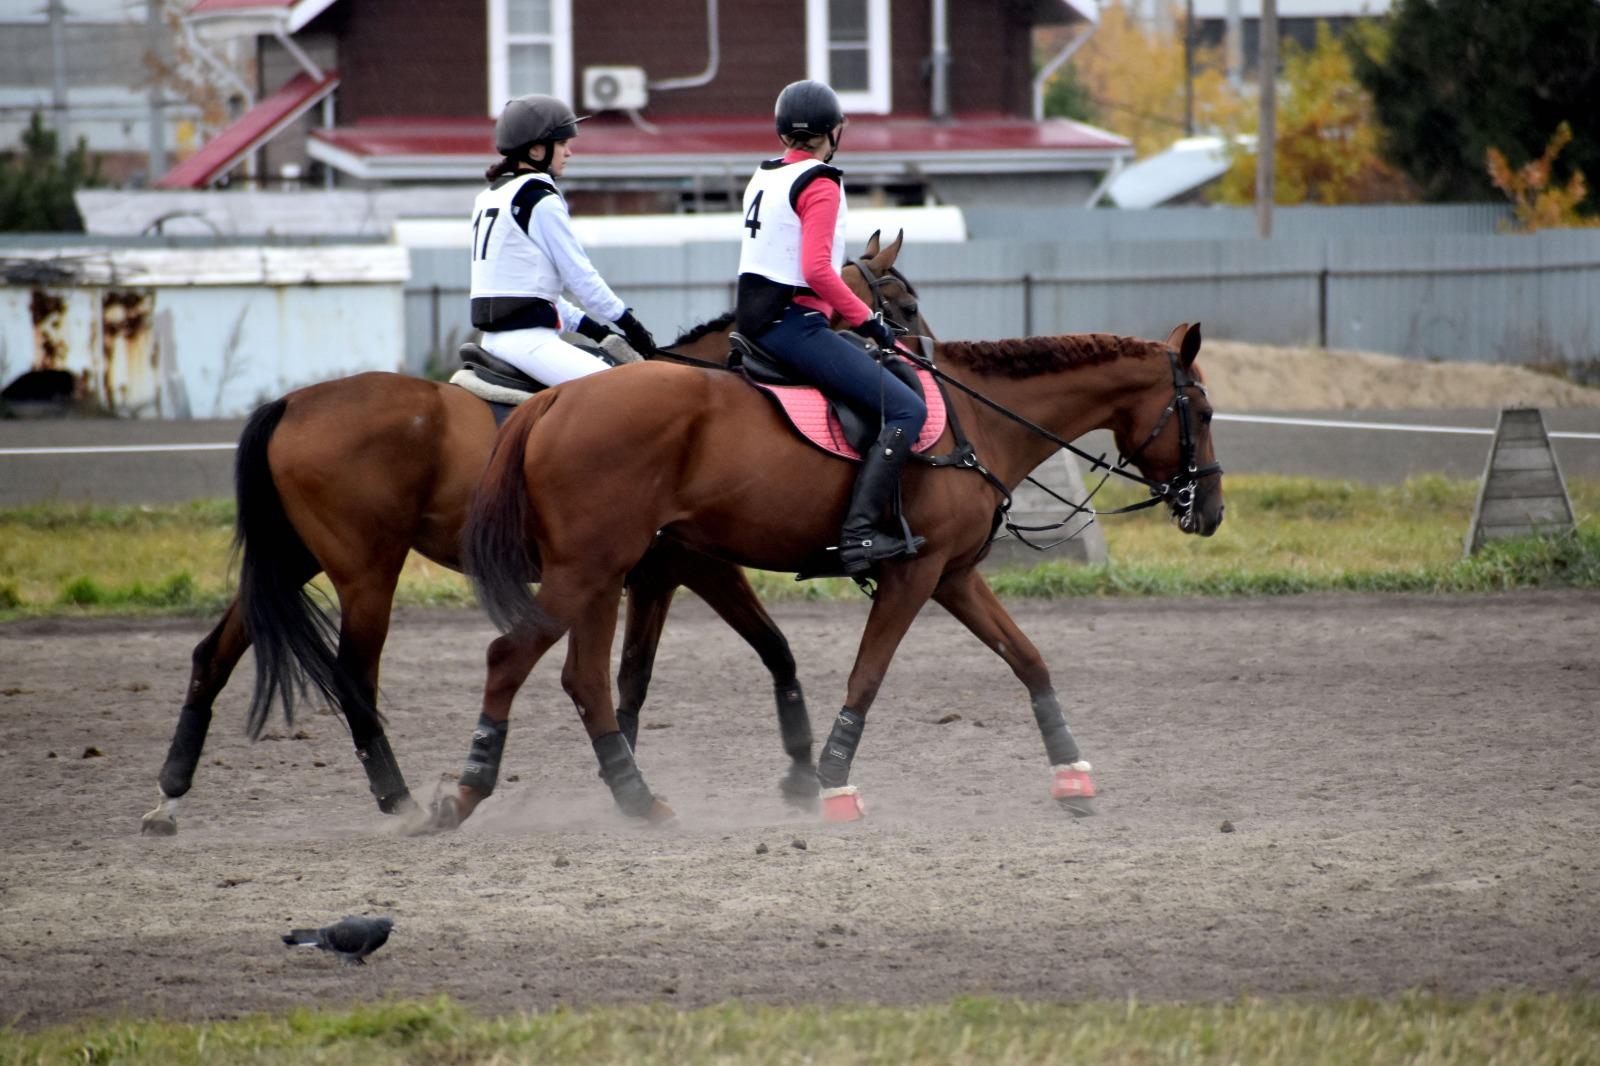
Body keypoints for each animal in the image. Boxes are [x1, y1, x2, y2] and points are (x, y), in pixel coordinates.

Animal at [144, 236, 934, 832]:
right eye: (901, 304)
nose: (924, 366)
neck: (712, 400)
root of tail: (291, 402)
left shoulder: (643, 576)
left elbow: (635, 678)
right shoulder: (689, 565)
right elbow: (757, 652)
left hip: (294, 560)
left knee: (212, 656)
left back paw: (169, 793)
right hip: (367, 572)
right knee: (353, 677)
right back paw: (399, 798)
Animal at [444, 320, 1216, 825]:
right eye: (1204, 412)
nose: (1210, 509)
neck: (974, 420)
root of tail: (560, 396)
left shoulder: (953, 575)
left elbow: (1029, 660)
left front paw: (1070, 771)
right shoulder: (915, 575)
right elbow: (867, 674)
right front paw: (834, 779)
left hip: (601, 575)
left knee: (584, 680)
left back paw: (631, 795)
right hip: (587, 571)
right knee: (511, 656)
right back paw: (470, 789)